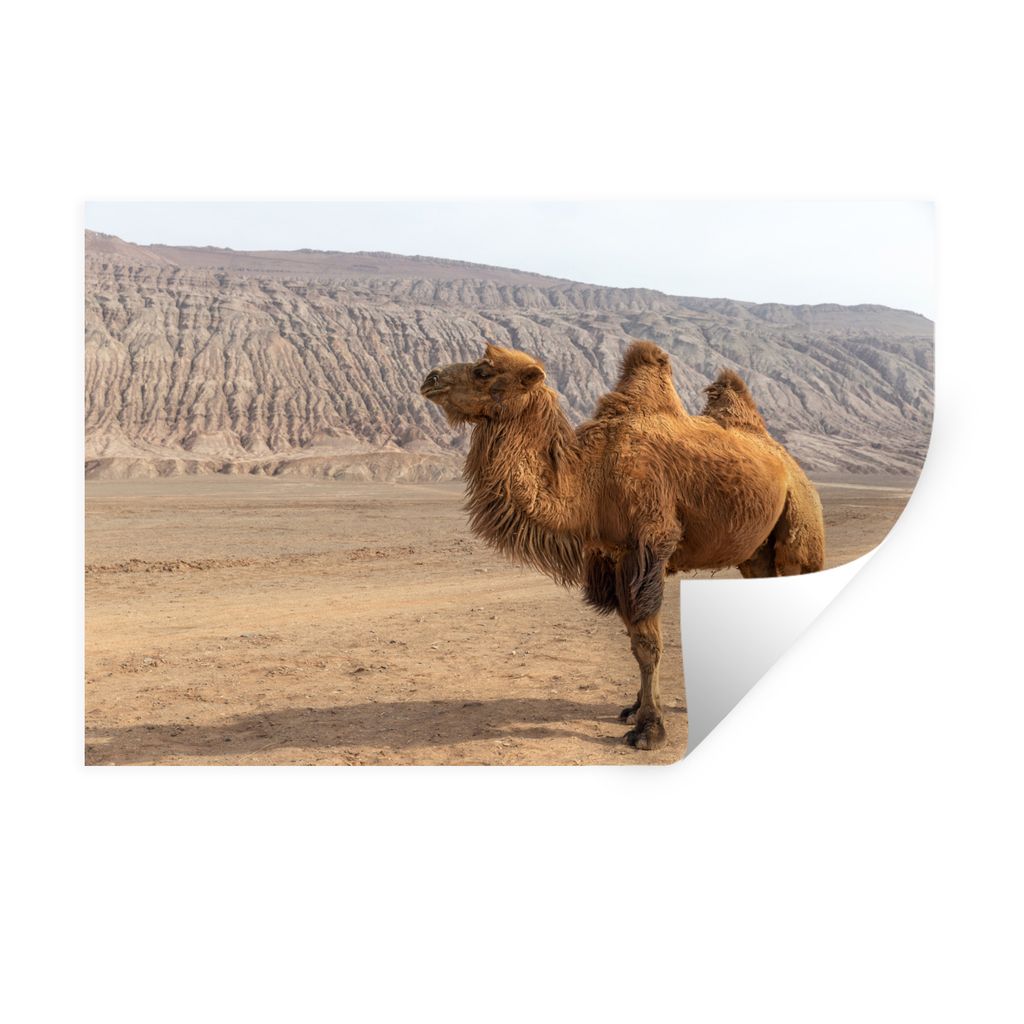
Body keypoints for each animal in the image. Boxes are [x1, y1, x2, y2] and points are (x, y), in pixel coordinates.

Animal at [420, 340, 825, 751]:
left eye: (484, 371)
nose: (430, 378)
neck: (589, 480)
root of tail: (789, 462)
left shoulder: (648, 548)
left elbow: (648, 644)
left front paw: (649, 730)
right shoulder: (611, 558)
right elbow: (634, 639)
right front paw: (635, 708)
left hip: (800, 524)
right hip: (756, 552)